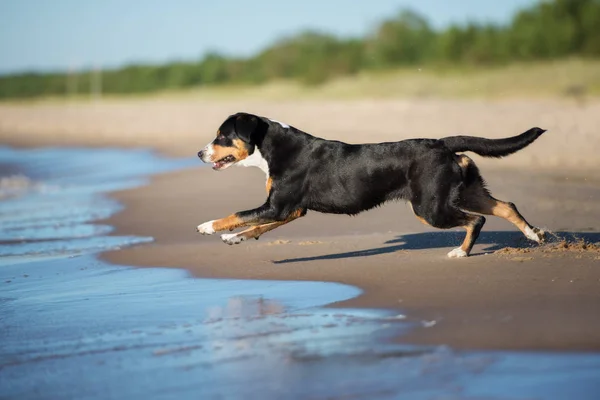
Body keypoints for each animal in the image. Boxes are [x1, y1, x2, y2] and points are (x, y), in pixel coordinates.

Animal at [195, 111, 548, 258]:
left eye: (222, 136)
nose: (199, 153)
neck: (274, 148)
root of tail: (442, 143)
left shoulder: (278, 206)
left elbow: (239, 214)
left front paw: (209, 226)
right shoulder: (290, 210)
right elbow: (255, 225)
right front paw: (234, 239)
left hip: (430, 207)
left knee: (477, 220)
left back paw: (460, 253)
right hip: (465, 191)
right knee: (506, 206)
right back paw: (535, 235)